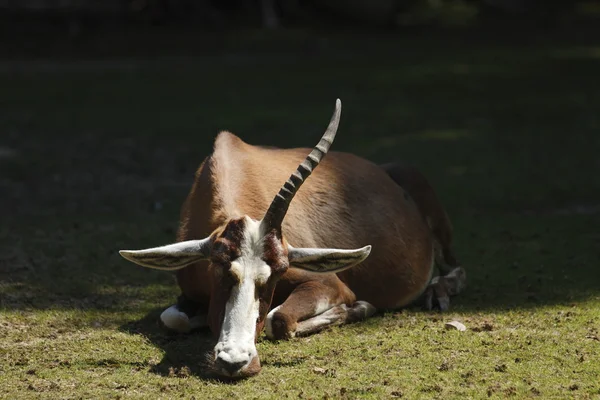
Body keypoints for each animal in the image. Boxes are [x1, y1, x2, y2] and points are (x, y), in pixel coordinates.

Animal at [119, 99, 466, 378]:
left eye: (277, 273)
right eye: (218, 268)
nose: (235, 362)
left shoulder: (328, 284)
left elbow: (279, 319)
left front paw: (360, 307)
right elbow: (171, 319)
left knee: (456, 268)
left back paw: (437, 292)